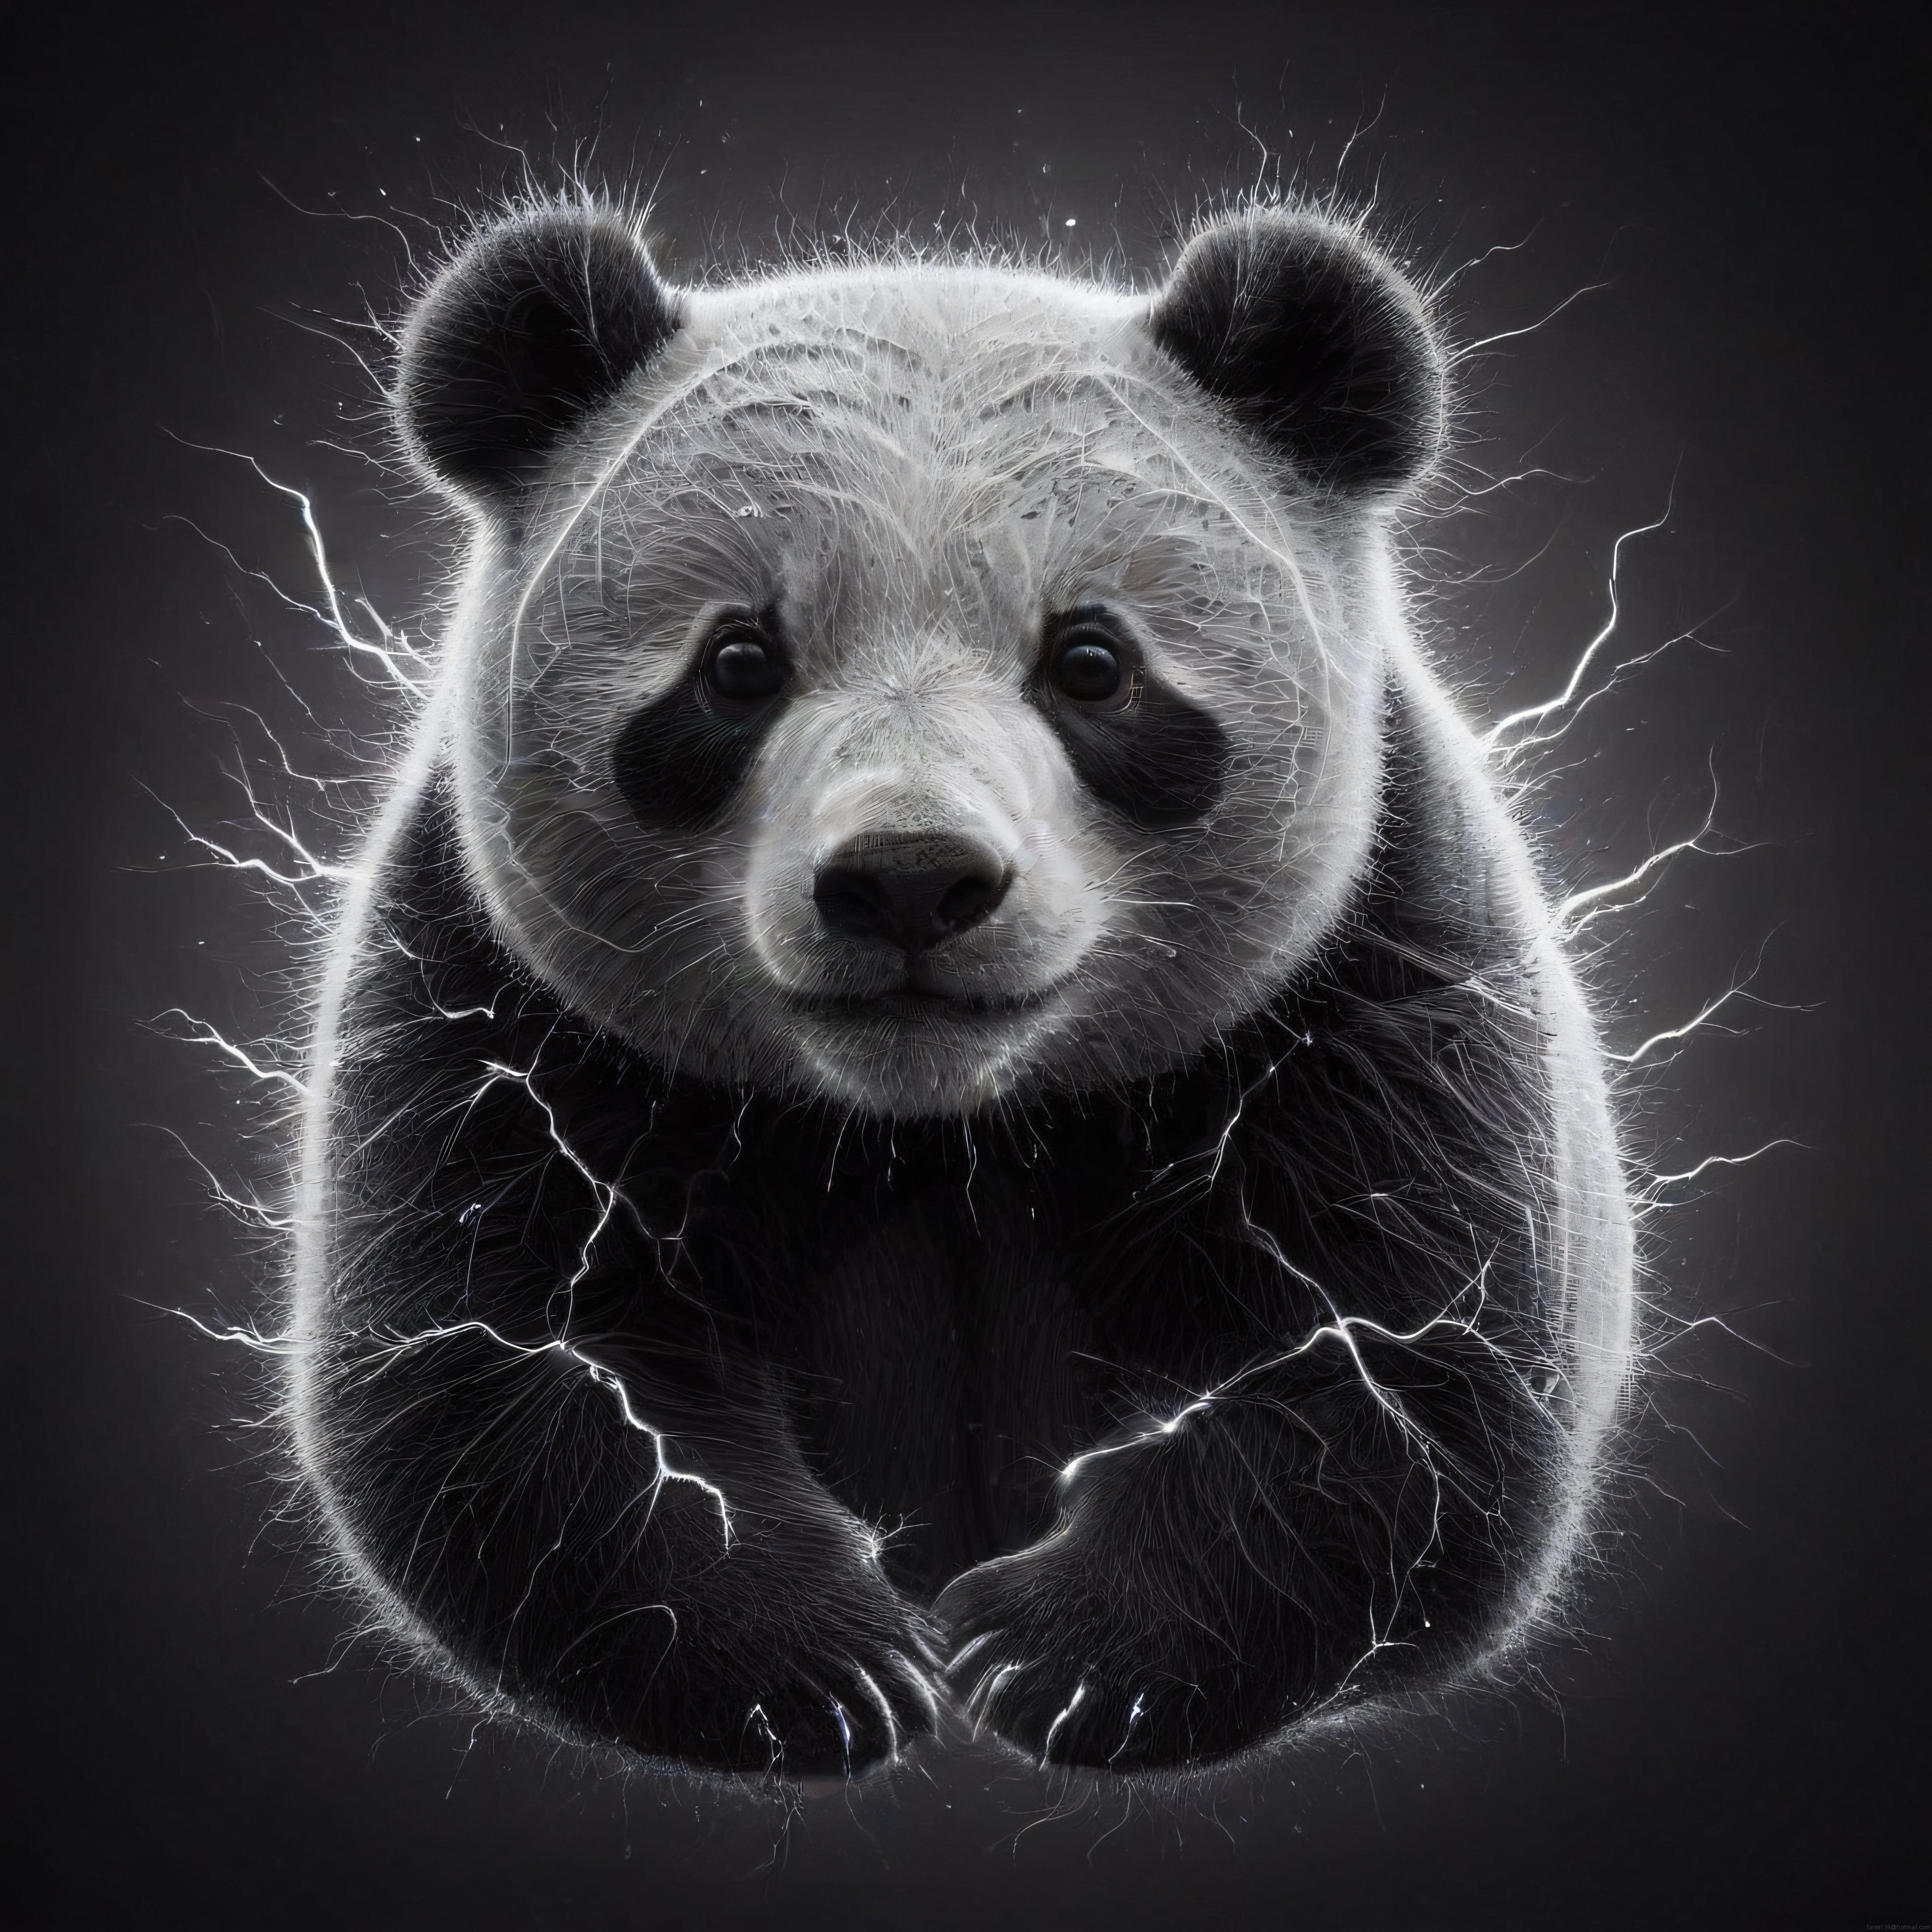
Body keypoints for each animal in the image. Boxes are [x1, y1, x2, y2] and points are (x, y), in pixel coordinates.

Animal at [287, 199, 1634, 1783]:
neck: (938, 1123)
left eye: (1092, 662)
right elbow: (522, 1358)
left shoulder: (1377, 969)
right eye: (738, 663)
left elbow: (1385, 1365)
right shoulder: (501, 1001)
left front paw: (1055, 1659)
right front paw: (829, 1671)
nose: (910, 881)